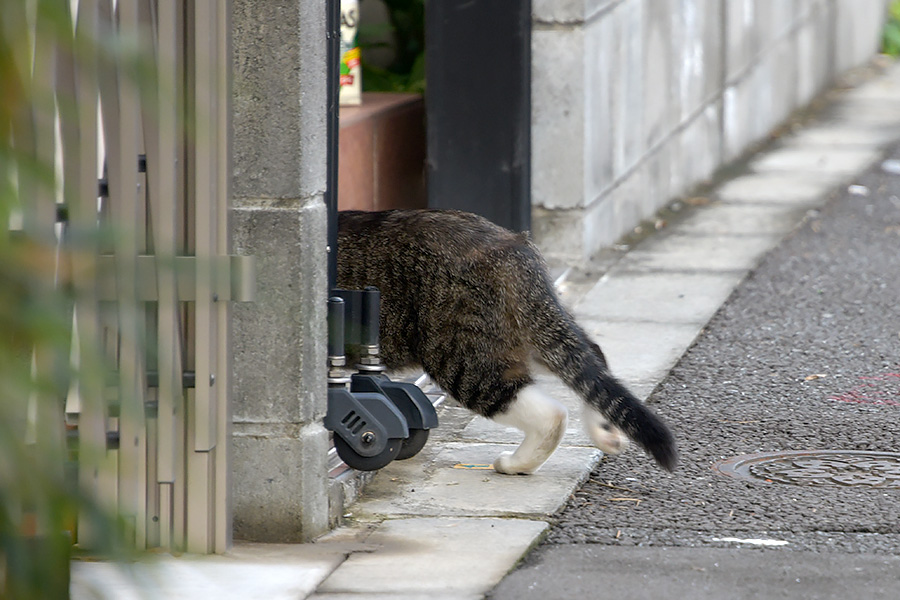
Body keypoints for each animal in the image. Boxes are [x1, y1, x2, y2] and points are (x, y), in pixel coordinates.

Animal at [338, 210, 676, 474]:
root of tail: (513, 245)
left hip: (461, 355)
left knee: (546, 413)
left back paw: (516, 464)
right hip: (529, 333)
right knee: (593, 358)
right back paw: (603, 431)